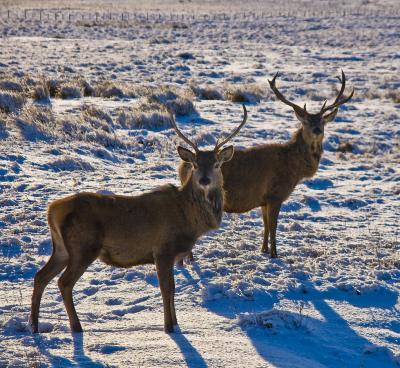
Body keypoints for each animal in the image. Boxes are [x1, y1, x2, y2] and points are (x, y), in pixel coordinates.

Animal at [29, 103, 247, 334]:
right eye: (195, 164)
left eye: (216, 164)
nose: (204, 180)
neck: (190, 219)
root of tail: (53, 210)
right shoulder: (163, 250)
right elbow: (167, 290)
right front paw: (169, 327)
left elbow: (173, 290)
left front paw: (176, 324)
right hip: (83, 246)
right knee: (64, 282)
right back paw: (76, 327)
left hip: (62, 248)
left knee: (40, 277)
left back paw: (34, 326)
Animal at [180, 70, 354, 258]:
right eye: (306, 122)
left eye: (322, 122)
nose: (317, 131)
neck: (295, 167)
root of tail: (183, 165)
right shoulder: (275, 195)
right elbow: (273, 226)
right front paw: (275, 254)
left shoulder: (263, 200)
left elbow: (265, 225)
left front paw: (263, 250)